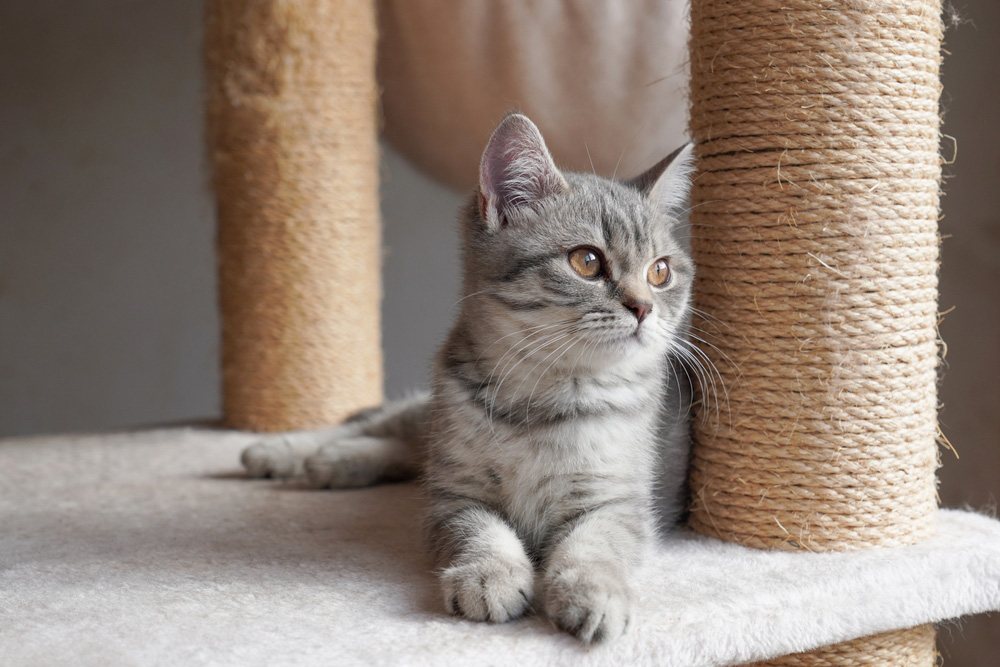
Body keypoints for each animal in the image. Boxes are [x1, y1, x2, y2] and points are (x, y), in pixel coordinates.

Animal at [242, 115, 696, 648]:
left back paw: (336, 461)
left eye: (661, 272)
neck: (545, 399)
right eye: (587, 261)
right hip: (436, 414)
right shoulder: (456, 494)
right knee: (384, 428)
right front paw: (489, 575)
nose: (643, 307)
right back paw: (286, 452)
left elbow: (594, 545)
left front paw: (593, 591)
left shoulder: (619, 500)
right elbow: (479, 531)